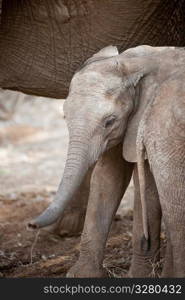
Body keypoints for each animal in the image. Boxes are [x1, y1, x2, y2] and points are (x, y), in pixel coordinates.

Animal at [29, 45, 185, 278]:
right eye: (65, 117)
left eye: (109, 122)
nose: (30, 225)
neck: (133, 62)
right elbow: (107, 177)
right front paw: (82, 275)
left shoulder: (146, 121)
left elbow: (145, 185)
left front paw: (137, 277)